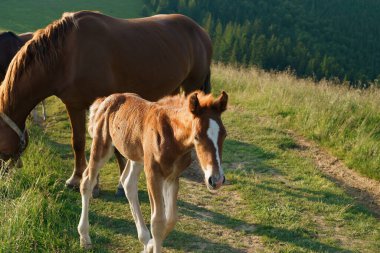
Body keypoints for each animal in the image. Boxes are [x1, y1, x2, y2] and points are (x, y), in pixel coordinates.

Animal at [0, 10, 212, 191]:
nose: (3, 177)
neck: (68, 55)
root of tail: (200, 31)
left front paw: (110, 183)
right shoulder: (74, 105)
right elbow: (78, 142)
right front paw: (77, 179)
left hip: (192, 85)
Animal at [78, 90, 229, 251]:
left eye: (224, 134)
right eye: (197, 136)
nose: (216, 180)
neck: (171, 136)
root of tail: (106, 99)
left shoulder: (172, 176)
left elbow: (171, 218)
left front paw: (150, 245)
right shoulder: (153, 174)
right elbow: (158, 221)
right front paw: (153, 245)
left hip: (136, 156)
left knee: (128, 182)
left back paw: (144, 239)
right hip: (102, 146)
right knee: (87, 181)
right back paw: (85, 238)